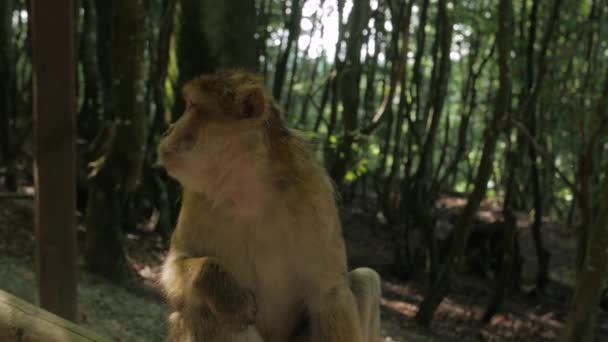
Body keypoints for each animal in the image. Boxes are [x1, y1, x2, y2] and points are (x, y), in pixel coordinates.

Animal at [159, 70, 382, 342]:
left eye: (192, 105)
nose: (167, 130)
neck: (248, 189)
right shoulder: (195, 195)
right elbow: (175, 265)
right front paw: (227, 295)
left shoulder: (313, 189)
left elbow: (329, 293)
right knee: (200, 310)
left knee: (365, 279)